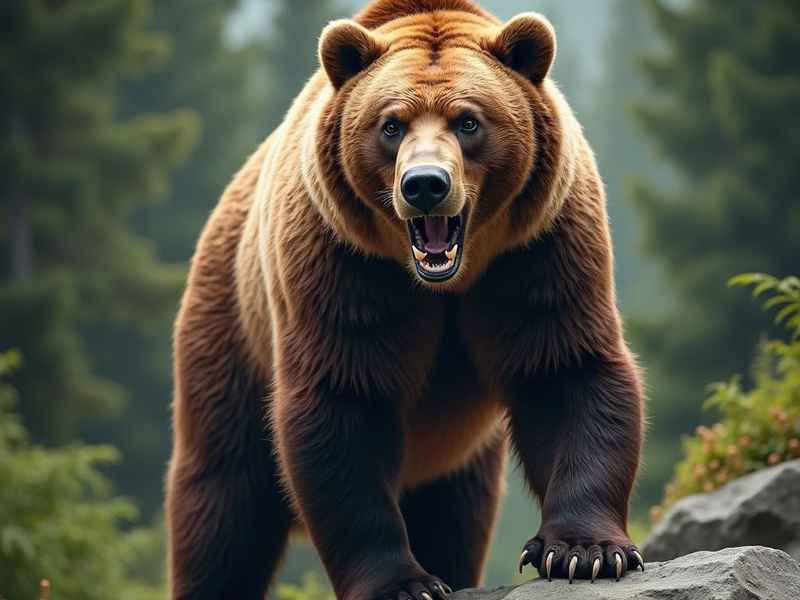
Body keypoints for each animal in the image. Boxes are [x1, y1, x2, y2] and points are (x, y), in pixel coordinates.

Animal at [166, 0, 645, 598]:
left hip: (456, 450)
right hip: (231, 326)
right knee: (224, 498)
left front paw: (585, 551)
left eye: (468, 120)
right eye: (390, 124)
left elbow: (565, 370)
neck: (445, 282)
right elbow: (343, 403)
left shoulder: (538, 251)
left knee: (454, 513)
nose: (424, 184)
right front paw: (402, 582)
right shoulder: (344, 264)